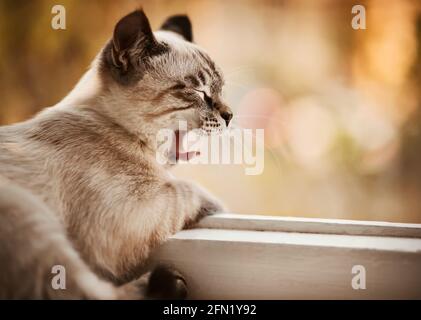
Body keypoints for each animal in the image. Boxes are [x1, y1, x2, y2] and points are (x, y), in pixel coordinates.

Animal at [0, 10, 231, 300]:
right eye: (201, 92)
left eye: (221, 91)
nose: (230, 116)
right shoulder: (136, 211)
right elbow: (187, 190)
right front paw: (219, 205)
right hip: (27, 213)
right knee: (87, 292)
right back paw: (169, 284)